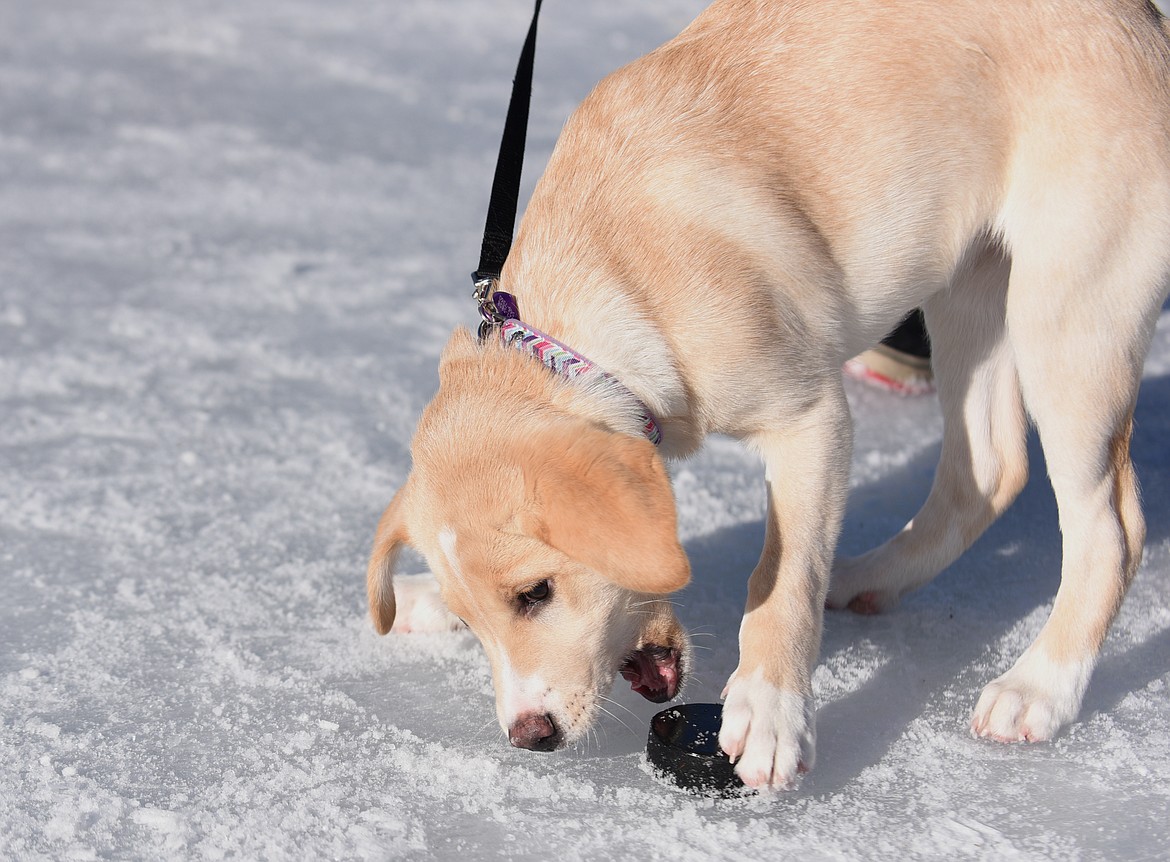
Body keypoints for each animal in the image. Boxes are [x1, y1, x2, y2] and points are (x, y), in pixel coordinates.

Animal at [367, 0, 1170, 785]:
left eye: (536, 593)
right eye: (478, 622)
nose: (529, 737)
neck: (588, 316)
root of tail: (1139, 20)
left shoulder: (810, 417)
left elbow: (781, 576)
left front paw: (769, 711)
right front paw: (423, 596)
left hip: (1065, 312)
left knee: (1110, 528)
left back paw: (1039, 687)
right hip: (972, 290)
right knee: (989, 472)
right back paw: (872, 577)